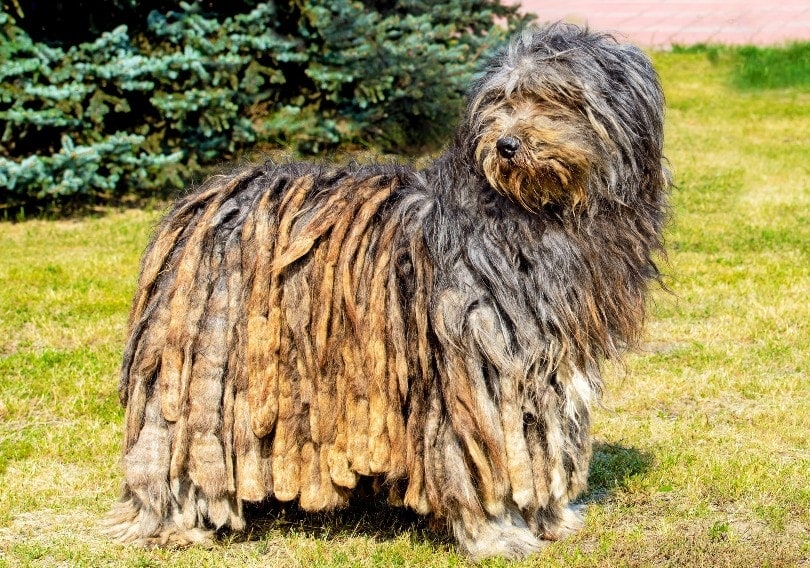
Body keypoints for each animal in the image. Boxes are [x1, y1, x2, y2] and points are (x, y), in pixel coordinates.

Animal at [104, 21, 664, 560]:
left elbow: (543, 440)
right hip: (200, 368)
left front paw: (551, 518)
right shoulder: (473, 364)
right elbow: (482, 458)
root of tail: (202, 201)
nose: (506, 145)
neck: (532, 214)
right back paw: (173, 522)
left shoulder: (547, 363)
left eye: (556, 97)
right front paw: (498, 534)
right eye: (499, 100)